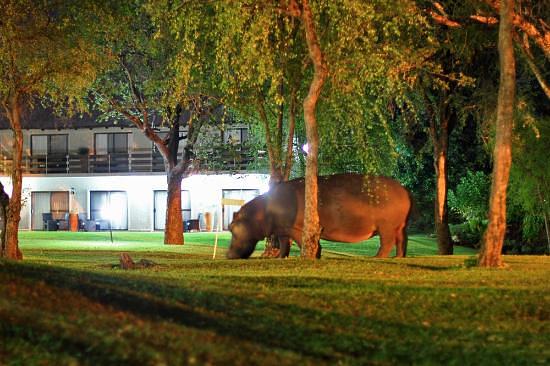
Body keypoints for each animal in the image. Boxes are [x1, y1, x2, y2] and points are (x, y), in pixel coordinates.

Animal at [227, 173, 414, 258]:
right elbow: (284, 244)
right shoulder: (282, 230)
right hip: (400, 226)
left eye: (231, 228)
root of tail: (404, 189)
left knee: (387, 242)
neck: (258, 213)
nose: (227, 255)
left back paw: (376, 258)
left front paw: (311, 256)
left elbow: (302, 242)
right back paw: (398, 257)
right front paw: (281, 258)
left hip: (386, 226)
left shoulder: (296, 228)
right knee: (401, 241)